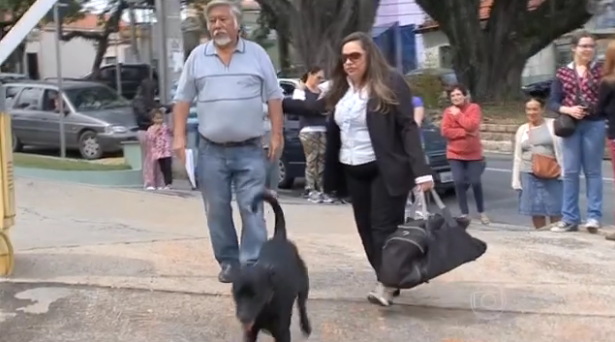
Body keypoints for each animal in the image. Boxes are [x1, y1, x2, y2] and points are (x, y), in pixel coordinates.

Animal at [233, 191, 316, 340]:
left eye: (256, 295)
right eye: (237, 294)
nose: (243, 317)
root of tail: (279, 237)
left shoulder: (282, 333)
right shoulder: (250, 332)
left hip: (304, 287)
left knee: (302, 306)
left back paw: (306, 326)